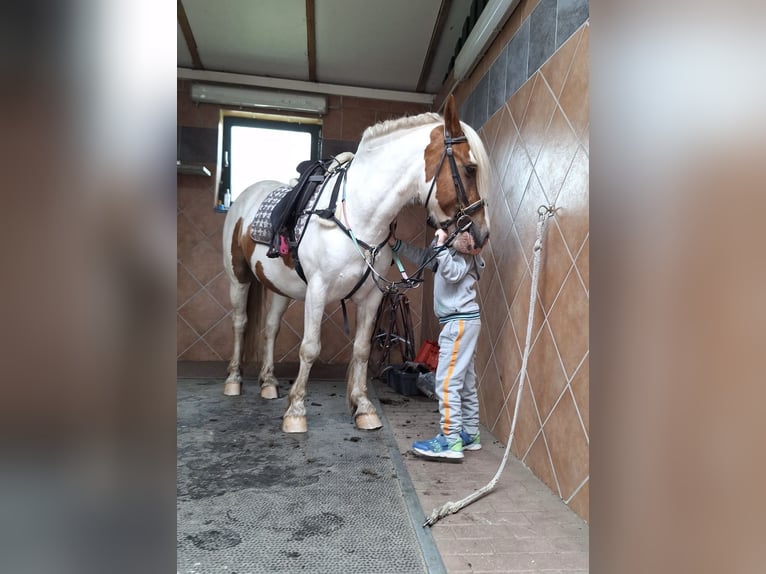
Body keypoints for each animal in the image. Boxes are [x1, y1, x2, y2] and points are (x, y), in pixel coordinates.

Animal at [222, 97, 492, 434]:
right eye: (470, 168)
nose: (481, 235)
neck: (359, 215)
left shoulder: (372, 296)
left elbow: (362, 350)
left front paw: (363, 407)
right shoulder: (318, 291)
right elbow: (310, 348)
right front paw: (296, 411)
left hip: (279, 288)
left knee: (270, 328)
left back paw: (269, 383)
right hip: (238, 277)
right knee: (240, 323)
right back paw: (233, 380)